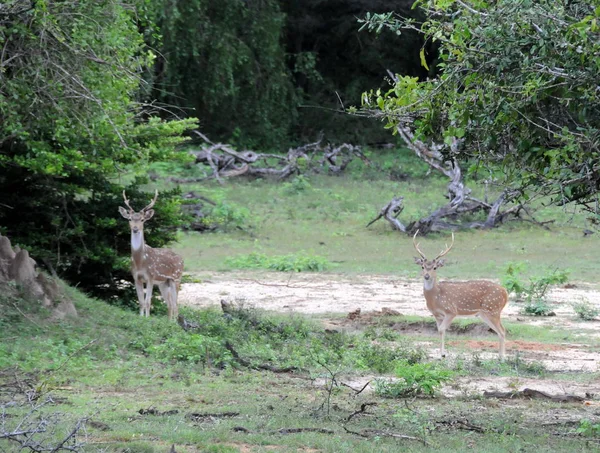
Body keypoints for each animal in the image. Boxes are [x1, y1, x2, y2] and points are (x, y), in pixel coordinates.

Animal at [117, 191, 183, 322]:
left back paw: (174, 323)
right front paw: (141, 318)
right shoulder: (136, 278)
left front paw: (147, 318)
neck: (140, 261)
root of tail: (182, 258)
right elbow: (141, 302)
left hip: (176, 278)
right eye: (130, 219)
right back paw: (169, 322)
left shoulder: (151, 277)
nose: (135, 229)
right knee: (169, 304)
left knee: (175, 304)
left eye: (142, 219)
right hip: (164, 283)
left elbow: (148, 302)